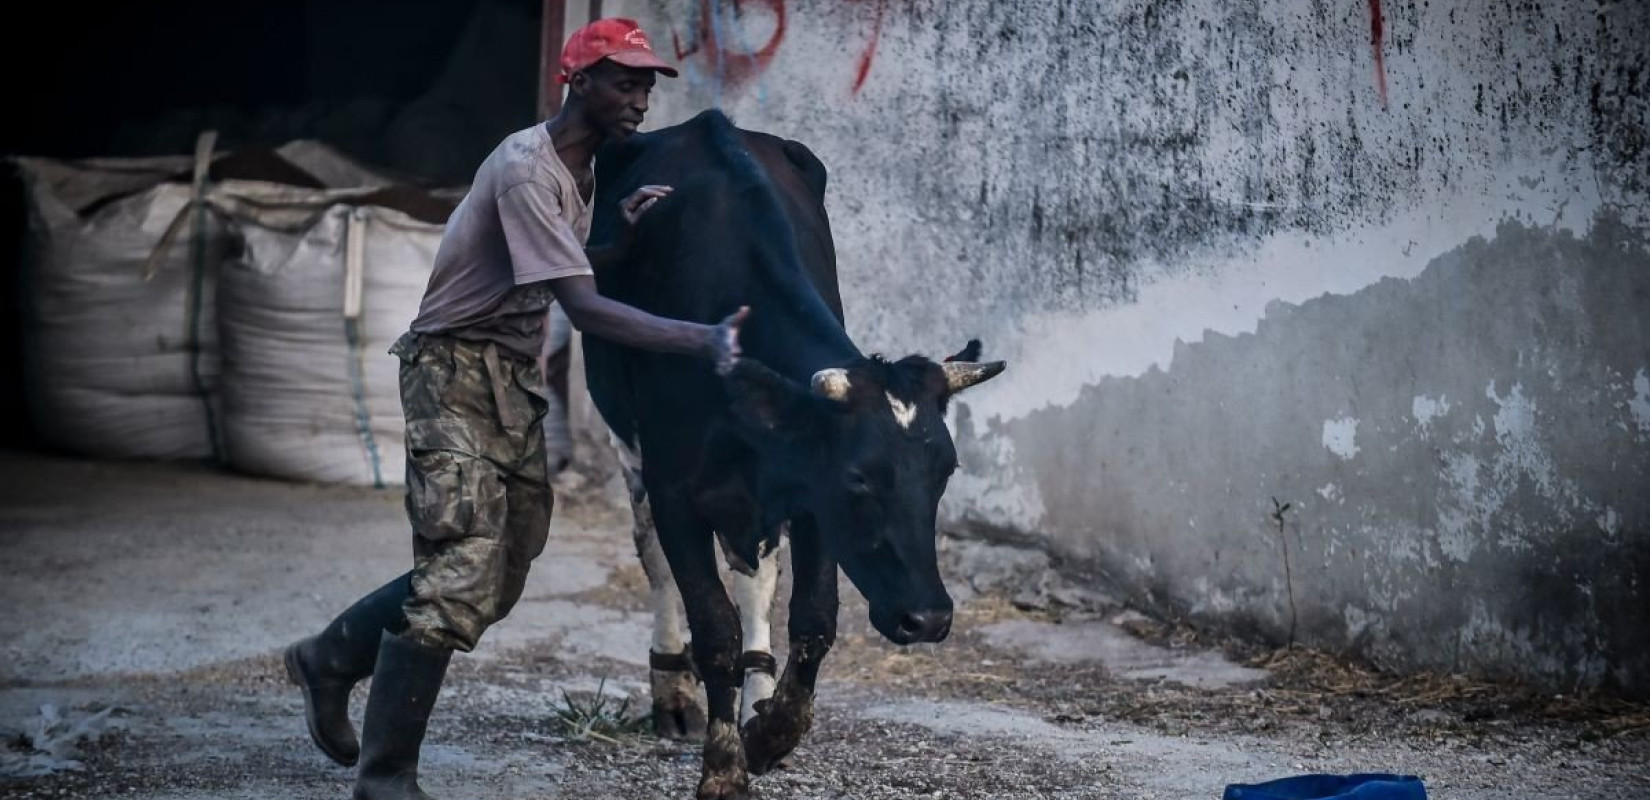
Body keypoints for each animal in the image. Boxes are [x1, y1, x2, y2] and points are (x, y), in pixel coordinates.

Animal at [594, 112, 1003, 798]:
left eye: (945, 471)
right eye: (859, 478)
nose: (928, 618)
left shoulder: (808, 500)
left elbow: (812, 620)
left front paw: (768, 732)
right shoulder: (677, 488)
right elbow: (714, 627)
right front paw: (724, 767)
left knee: (757, 575)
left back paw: (755, 689)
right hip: (624, 437)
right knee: (651, 553)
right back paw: (673, 690)